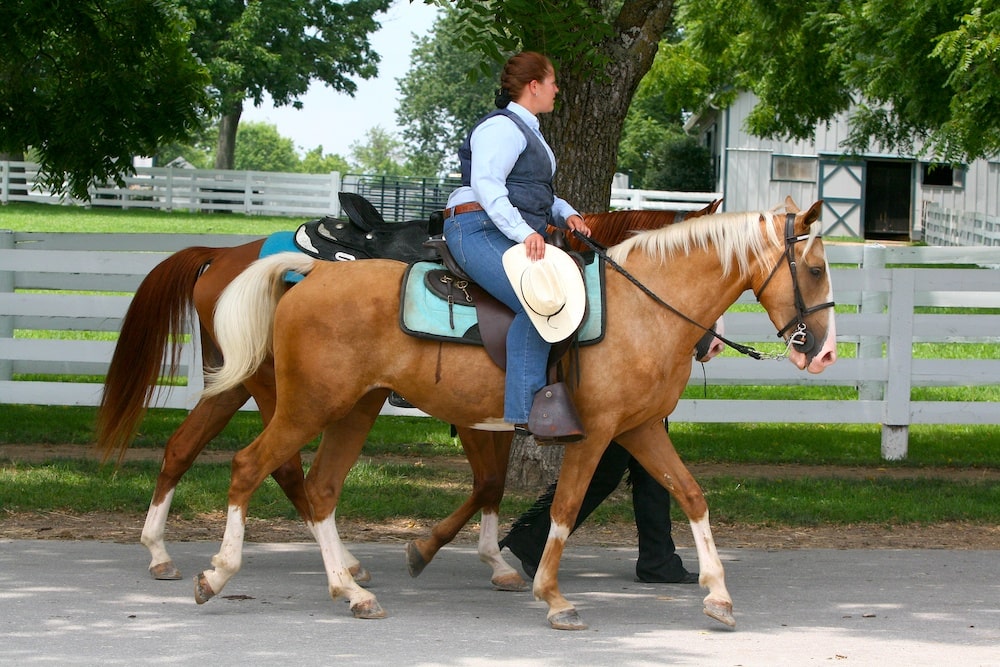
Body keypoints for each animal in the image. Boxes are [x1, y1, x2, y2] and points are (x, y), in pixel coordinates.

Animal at [92, 201, 720, 588]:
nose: (709, 345)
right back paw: (333, 565)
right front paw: (469, 554)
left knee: (186, 448)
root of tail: (223, 257)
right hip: (287, 391)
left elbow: (493, 484)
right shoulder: (481, 414)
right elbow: (490, 483)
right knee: (284, 468)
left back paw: (160, 551)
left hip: (235, 382)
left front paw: (494, 559)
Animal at [193, 198, 836, 632]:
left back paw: (350, 592)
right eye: (814, 270)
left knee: (322, 488)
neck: (638, 308)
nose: (824, 352)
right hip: (307, 406)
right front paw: (551, 595)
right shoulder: (592, 434)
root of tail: (312, 273)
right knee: (250, 467)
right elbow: (564, 506)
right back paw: (217, 572)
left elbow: (691, 495)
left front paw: (717, 595)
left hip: (354, 409)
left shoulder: (639, 429)